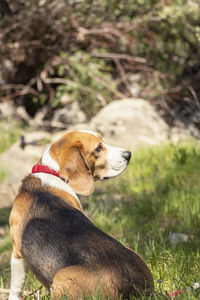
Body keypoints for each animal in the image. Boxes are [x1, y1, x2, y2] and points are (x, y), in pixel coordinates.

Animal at [8, 130, 154, 298]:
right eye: (98, 148)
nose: (128, 154)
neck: (52, 172)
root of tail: (133, 285)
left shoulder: (17, 254)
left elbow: (15, 288)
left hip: (62, 276)